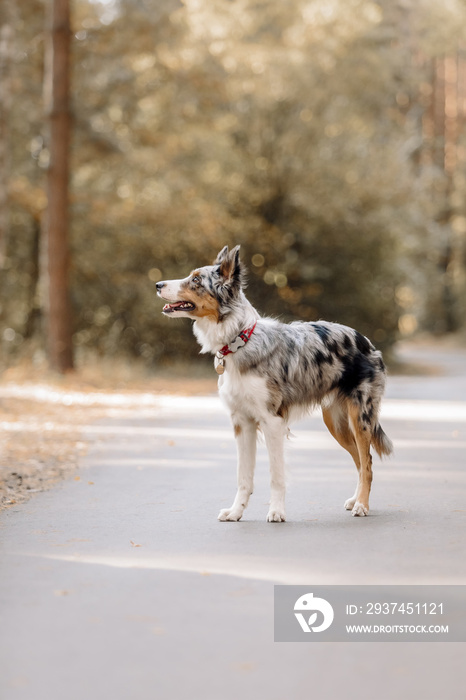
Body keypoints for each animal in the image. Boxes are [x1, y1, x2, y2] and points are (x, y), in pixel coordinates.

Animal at [157, 245, 394, 520]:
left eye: (196, 280)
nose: (157, 284)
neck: (240, 340)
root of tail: (365, 340)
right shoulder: (242, 423)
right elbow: (243, 476)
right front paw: (236, 512)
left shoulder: (272, 422)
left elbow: (276, 475)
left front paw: (277, 511)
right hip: (336, 423)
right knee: (359, 459)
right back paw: (356, 499)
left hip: (360, 418)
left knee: (367, 463)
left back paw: (362, 505)